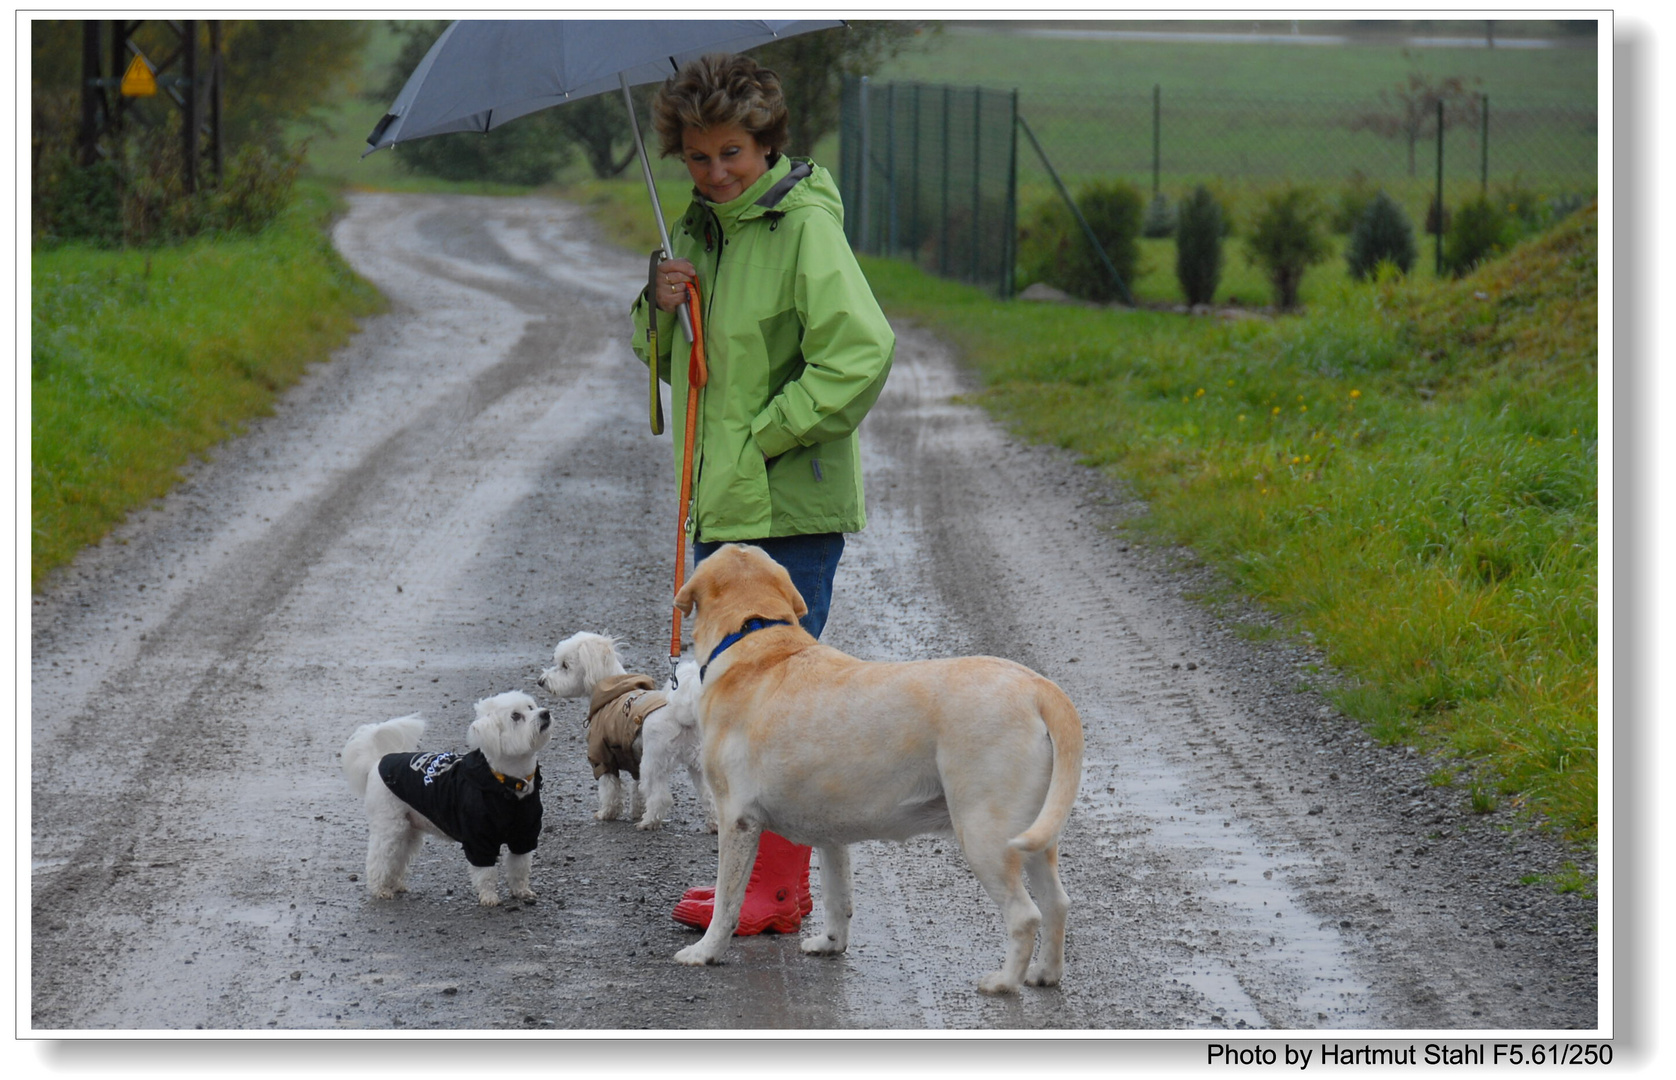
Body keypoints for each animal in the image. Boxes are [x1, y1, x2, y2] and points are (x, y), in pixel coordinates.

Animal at [343, 690, 553, 905]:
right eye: (515, 716)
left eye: (530, 707)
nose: (545, 713)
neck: (509, 783)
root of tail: (376, 762)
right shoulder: (478, 841)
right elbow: (486, 873)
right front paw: (489, 897)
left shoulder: (524, 835)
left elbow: (520, 868)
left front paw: (521, 891)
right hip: (390, 827)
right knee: (379, 858)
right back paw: (380, 889)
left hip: (408, 831)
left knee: (397, 859)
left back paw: (394, 884)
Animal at [539, 633, 710, 835]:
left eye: (565, 665)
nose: (541, 681)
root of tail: (681, 713)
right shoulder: (635, 757)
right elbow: (636, 790)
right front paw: (637, 811)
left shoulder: (602, 756)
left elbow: (610, 788)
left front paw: (607, 813)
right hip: (698, 762)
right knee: (710, 796)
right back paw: (714, 825)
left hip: (653, 762)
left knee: (660, 796)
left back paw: (649, 822)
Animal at [660, 543, 1079, 992]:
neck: (755, 635)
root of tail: (1037, 686)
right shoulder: (828, 830)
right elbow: (837, 894)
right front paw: (830, 943)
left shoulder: (736, 821)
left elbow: (727, 901)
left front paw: (705, 951)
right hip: (1034, 835)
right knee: (1057, 904)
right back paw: (1045, 973)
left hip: (985, 835)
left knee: (1026, 915)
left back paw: (1003, 982)